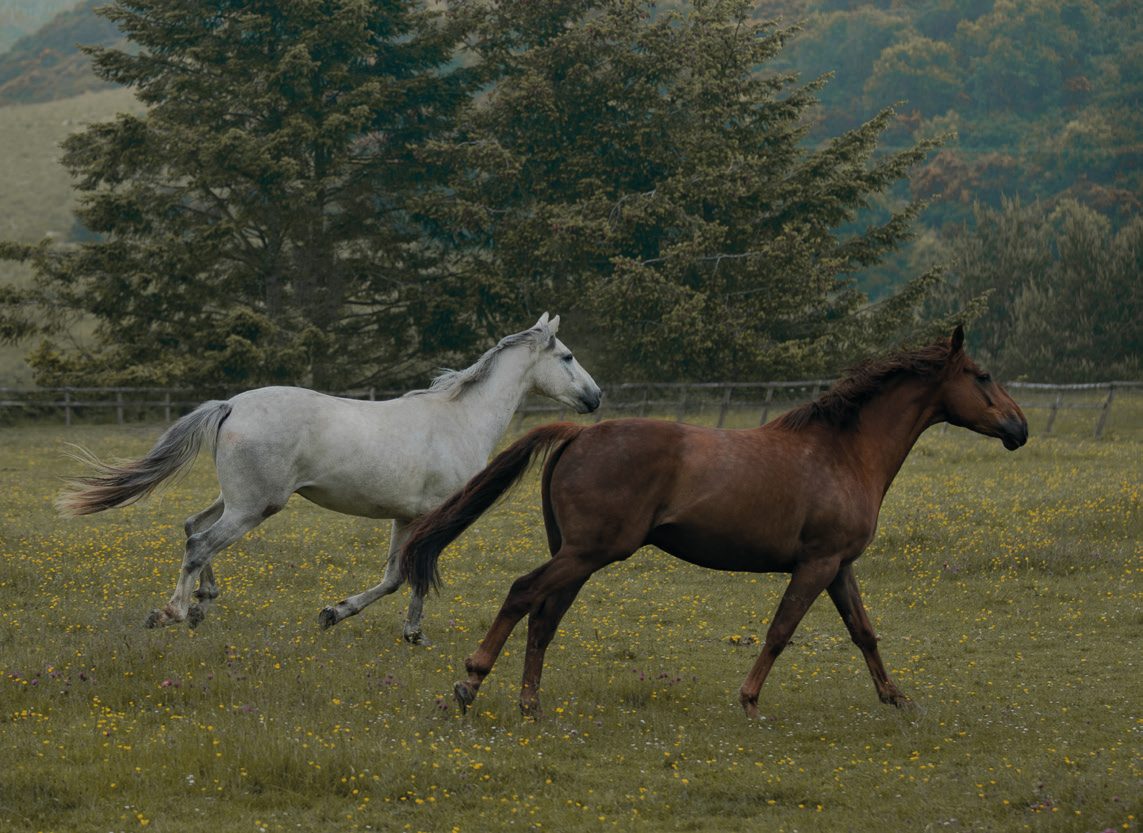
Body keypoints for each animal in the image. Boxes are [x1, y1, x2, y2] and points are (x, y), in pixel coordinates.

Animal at [57, 313, 601, 639]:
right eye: (568, 356)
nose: (595, 398)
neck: (459, 420)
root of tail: (231, 405)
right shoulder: (434, 517)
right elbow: (413, 572)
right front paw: (401, 630)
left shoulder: (406, 517)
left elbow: (394, 576)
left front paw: (344, 614)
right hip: (255, 506)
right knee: (199, 543)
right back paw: (170, 612)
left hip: (235, 499)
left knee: (193, 527)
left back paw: (200, 605)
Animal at [400, 326, 1028, 717]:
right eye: (982, 375)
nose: (1019, 429)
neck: (845, 452)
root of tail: (579, 432)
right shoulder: (817, 564)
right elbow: (781, 631)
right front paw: (749, 701)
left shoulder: (839, 566)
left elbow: (864, 633)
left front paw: (898, 700)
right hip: (590, 552)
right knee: (522, 593)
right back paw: (470, 681)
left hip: (578, 556)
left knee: (544, 616)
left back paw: (529, 705)